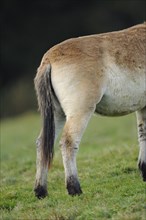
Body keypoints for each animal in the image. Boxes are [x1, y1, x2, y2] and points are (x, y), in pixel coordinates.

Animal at [34, 23, 146, 199]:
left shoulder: (142, 106)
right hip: (80, 111)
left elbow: (142, 133)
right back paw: (74, 189)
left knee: (42, 143)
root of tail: (48, 60)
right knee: (68, 142)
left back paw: (41, 191)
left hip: (57, 114)